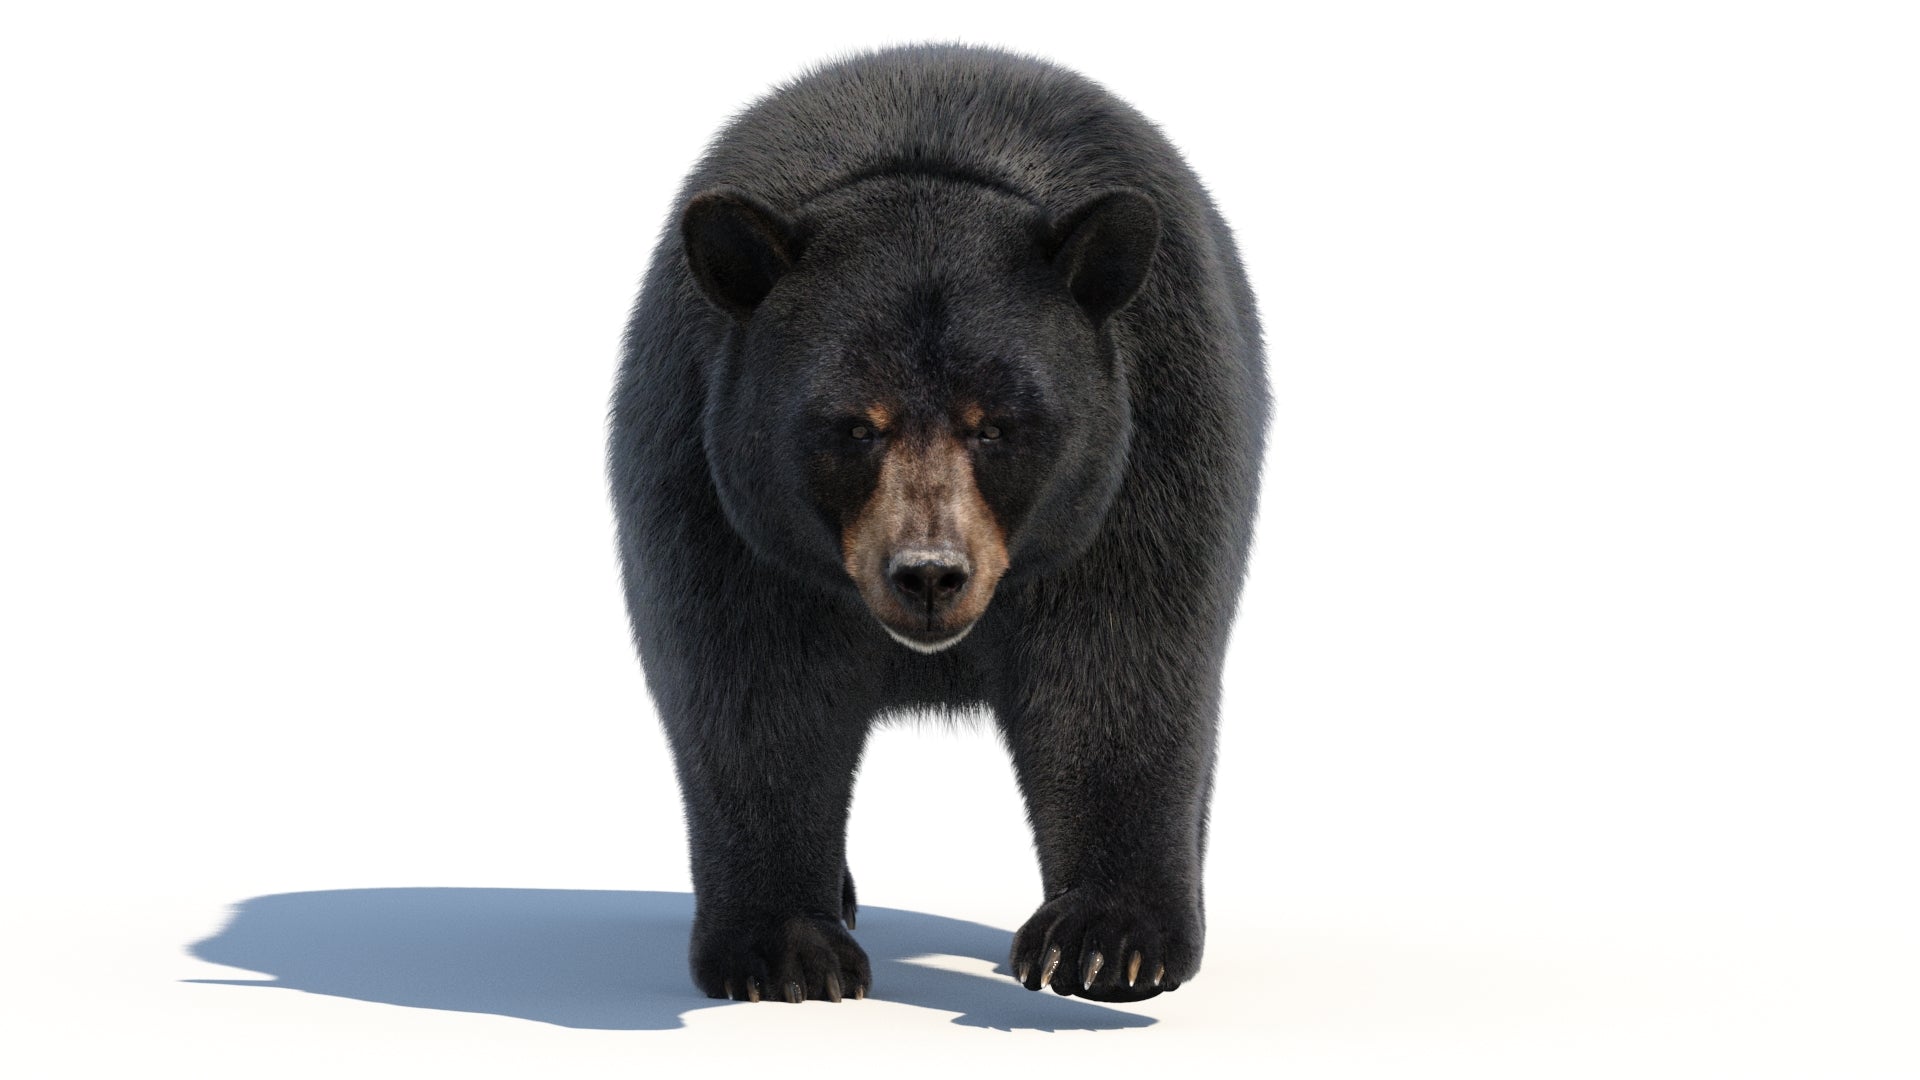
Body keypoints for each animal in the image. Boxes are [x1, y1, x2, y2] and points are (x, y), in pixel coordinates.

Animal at [608, 44, 1267, 1004]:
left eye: (996, 424)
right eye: (854, 426)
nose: (928, 573)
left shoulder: (1146, 456)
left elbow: (1116, 662)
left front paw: (1104, 940)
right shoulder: (713, 480)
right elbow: (751, 681)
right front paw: (781, 948)